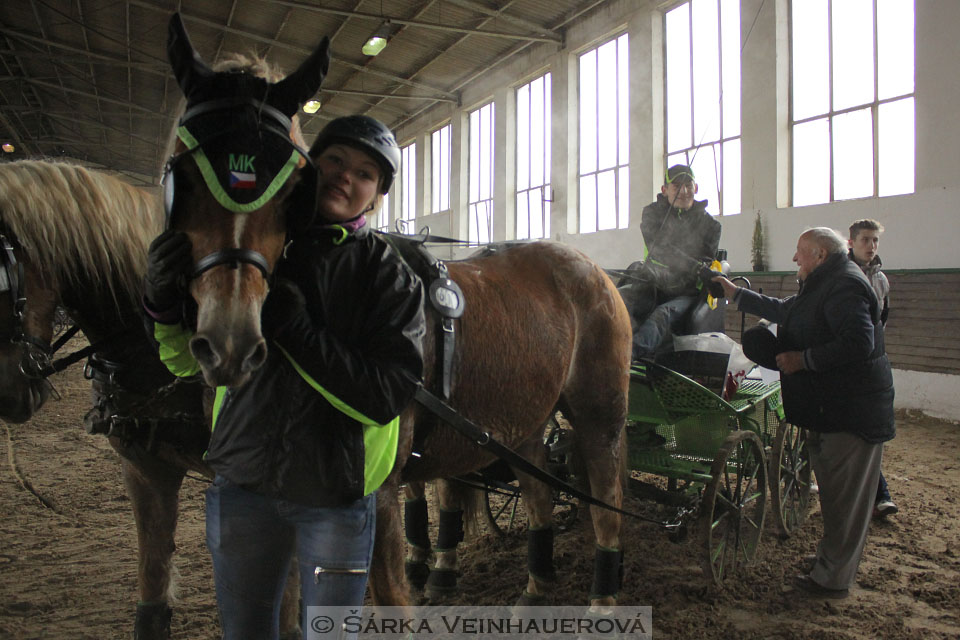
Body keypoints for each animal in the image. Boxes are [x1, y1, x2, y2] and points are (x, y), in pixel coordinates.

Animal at [161, 11, 632, 608]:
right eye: (184, 174)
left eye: (293, 186)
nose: (230, 342)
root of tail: (595, 272)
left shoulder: (377, 490)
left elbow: (389, 589)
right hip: (524, 418)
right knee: (539, 493)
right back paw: (535, 586)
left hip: (599, 414)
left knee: (606, 503)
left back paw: (603, 597)